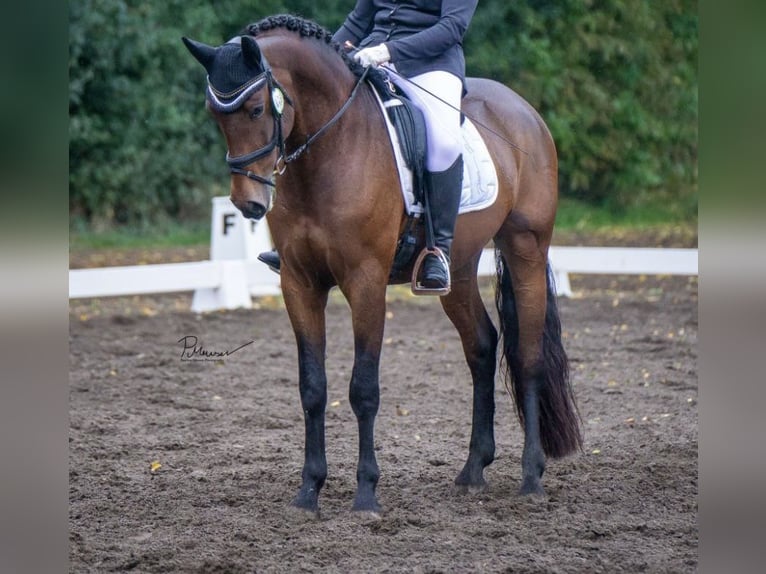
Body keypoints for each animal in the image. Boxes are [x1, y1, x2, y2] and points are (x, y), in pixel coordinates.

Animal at [183, 14, 582, 516]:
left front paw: (366, 494)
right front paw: (308, 491)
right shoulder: (299, 283)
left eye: (256, 110)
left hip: (525, 246)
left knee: (527, 354)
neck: (329, 149)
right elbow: (312, 388)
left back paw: (531, 477)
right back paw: (473, 471)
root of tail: (525, 111)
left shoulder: (365, 282)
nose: (247, 204)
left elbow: (363, 389)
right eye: (215, 114)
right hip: (459, 268)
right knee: (482, 346)